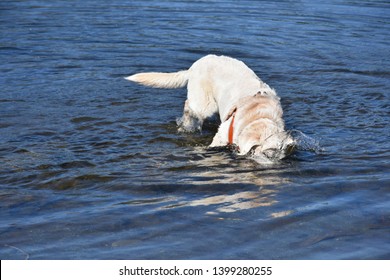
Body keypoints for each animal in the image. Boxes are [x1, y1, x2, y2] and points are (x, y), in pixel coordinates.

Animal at [126, 55, 294, 160]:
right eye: (266, 153)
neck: (259, 114)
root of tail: (194, 66)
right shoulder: (221, 136)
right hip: (205, 105)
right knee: (189, 106)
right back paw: (187, 124)